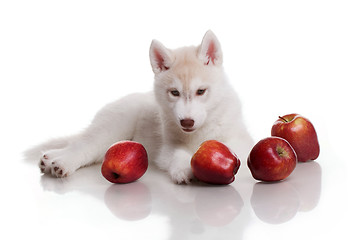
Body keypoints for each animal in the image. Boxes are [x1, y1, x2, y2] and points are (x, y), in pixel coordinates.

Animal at [31, 30, 250, 184]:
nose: (186, 122)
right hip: (112, 128)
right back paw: (61, 162)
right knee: (84, 146)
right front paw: (182, 170)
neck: (199, 131)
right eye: (175, 93)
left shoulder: (240, 142)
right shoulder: (168, 147)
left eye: (201, 91)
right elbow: (178, 154)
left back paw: (50, 158)